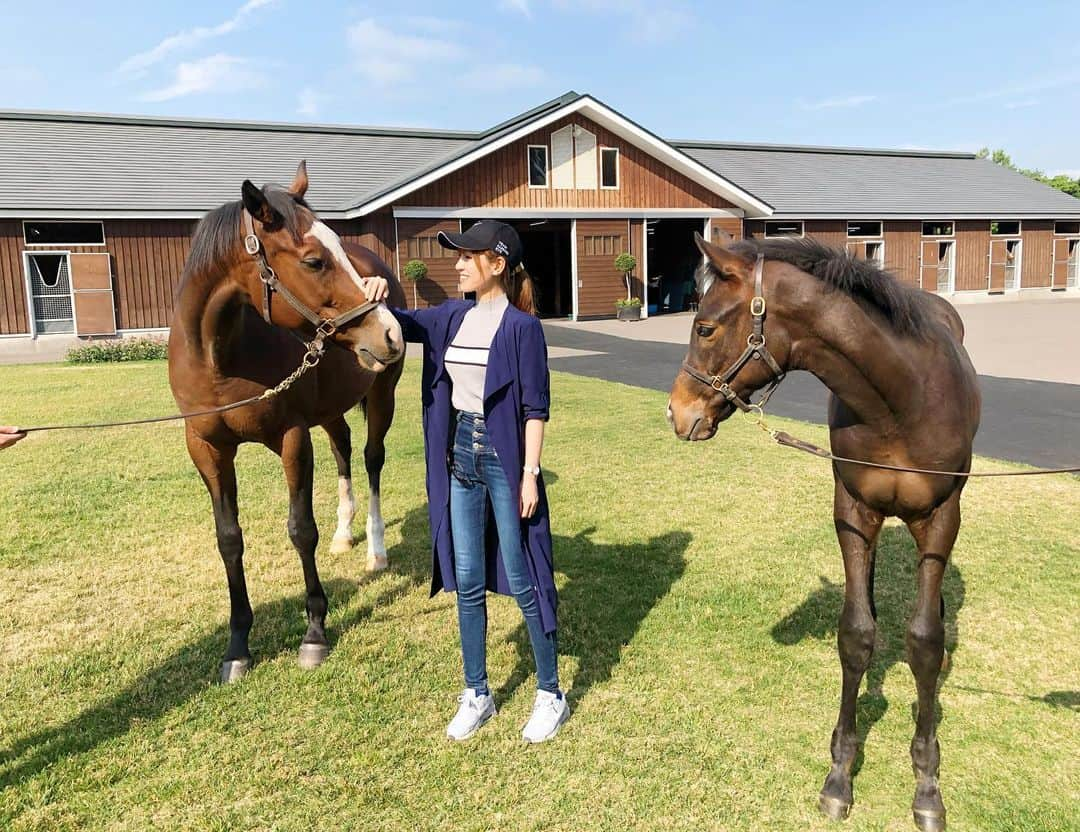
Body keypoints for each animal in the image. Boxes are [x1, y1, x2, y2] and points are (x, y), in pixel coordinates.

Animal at [166, 159, 406, 682]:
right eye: (314, 261)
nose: (390, 333)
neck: (220, 357)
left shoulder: (292, 438)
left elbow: (300, 530)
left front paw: (314, 632)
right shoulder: (206, 448)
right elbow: (229, 540)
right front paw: (237, 645)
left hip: (382, 395)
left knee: (372, 459)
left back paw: (376, 550)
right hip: (331, 409)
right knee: (343, 448)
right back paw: (344, 534)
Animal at [665, 231, 980, 829]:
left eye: (705, 328)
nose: (677, 412)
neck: (900, 401)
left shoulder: (941, 518)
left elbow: (925, 641)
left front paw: (927, 784)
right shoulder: (852, 513)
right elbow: (855, 635)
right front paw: (839, 774)